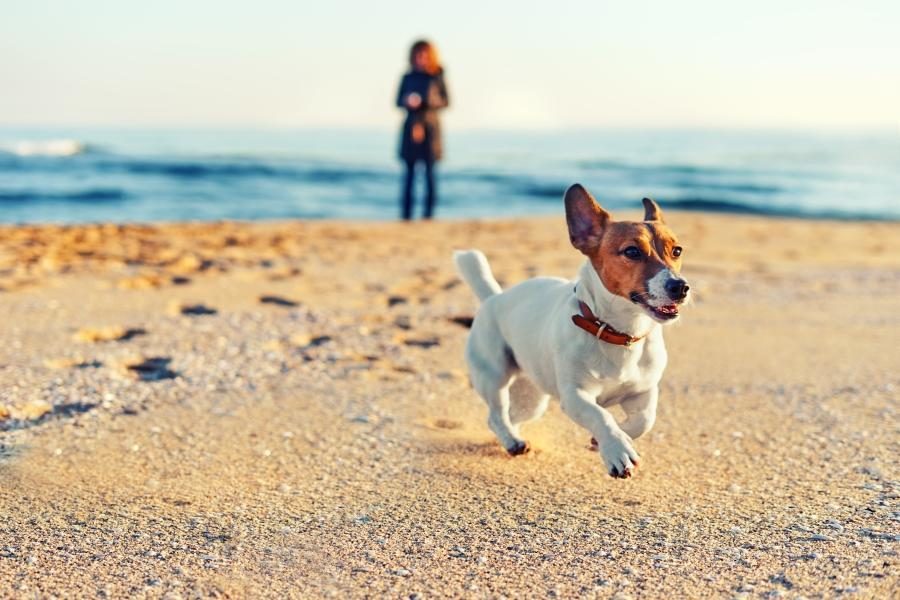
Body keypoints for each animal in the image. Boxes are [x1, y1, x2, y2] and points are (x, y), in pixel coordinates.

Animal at [458, 183, 688, 478]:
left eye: (677, 251)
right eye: (632, 252)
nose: (680, 287)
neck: (619, 333)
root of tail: (493, 297)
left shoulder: (643, 392)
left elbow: (645, 419)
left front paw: (610, 439)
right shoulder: (576, 395)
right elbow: (600, 415)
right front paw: (616, 449)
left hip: (533, 399)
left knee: (509, 416)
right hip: (493, 375)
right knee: (496, 414)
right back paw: (512, 442)